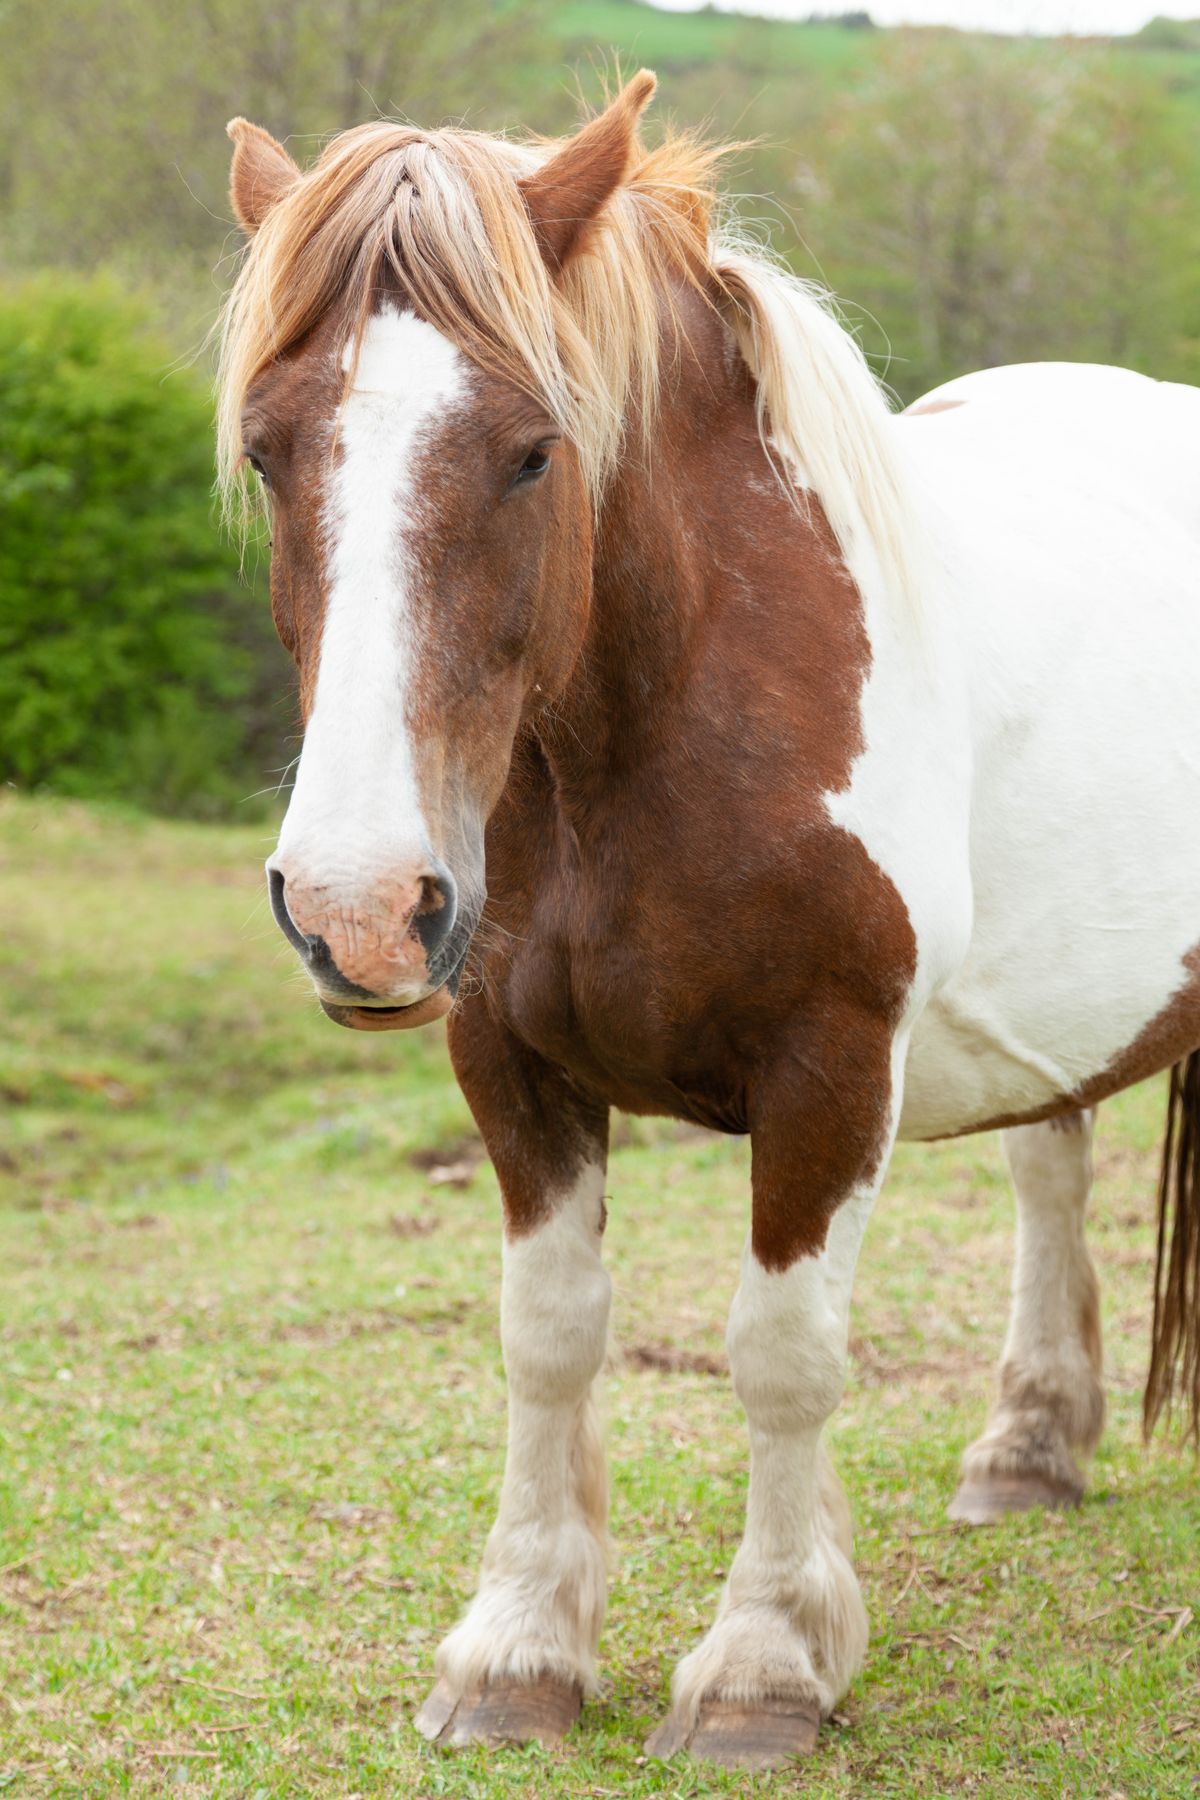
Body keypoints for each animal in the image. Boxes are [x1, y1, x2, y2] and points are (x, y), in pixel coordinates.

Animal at [216, 75, 1200, 1770]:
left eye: (531, 453)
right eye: (273, 451)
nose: (360, 907)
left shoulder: (831, 1075)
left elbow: (783, 1356)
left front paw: (764, 1666)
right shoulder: (511, 1065)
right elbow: (547, 1334)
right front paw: (518, 1651)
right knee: (1051, 1161)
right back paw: (1029, 1445)